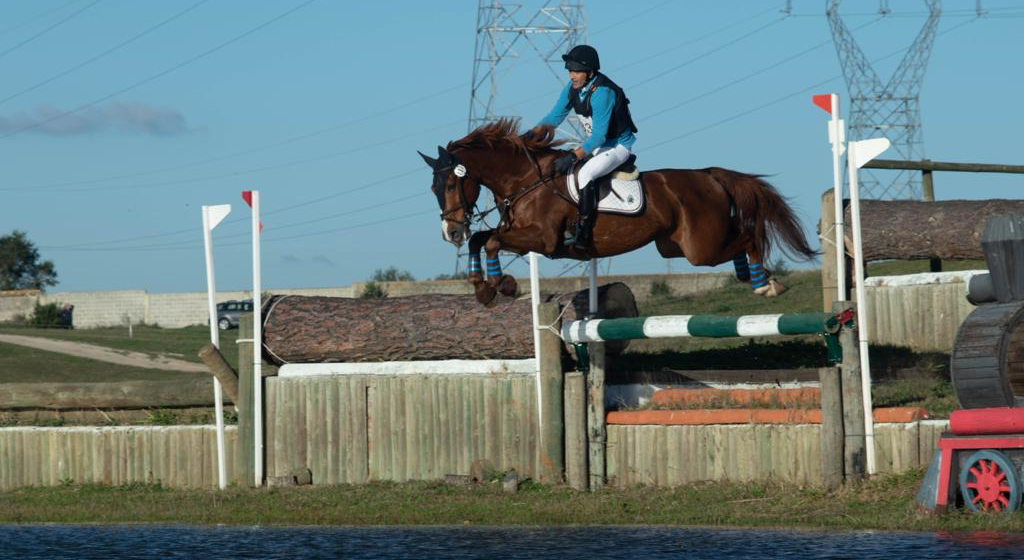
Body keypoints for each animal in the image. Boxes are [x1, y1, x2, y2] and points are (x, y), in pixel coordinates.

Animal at [417, 119, 815, 307]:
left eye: (450, 186)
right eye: (434, 189)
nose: (451, 233)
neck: (524, 181)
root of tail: (708, 174)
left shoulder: (543, 239)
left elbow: (491, 241)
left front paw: (503, 284)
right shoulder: (521, 235)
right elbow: (484, 240)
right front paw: (485, 289)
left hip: (700, 248)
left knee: (747, 236)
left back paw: (765, 284)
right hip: (674, 245)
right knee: (738, 239)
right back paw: (750, 275)